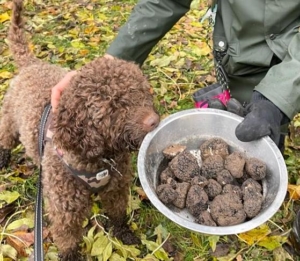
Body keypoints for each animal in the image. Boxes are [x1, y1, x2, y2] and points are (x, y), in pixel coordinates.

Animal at [0, 1, 161, 258]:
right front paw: (70, 255)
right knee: (5, 137)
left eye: (141, 92)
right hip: (9, 119)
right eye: (113, 107)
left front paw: (124, 235)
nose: (154, 120)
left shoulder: (116, 188)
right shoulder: (65, 208)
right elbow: (67, 238)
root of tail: (32, 63)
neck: (98, 158)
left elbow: (117, 215)